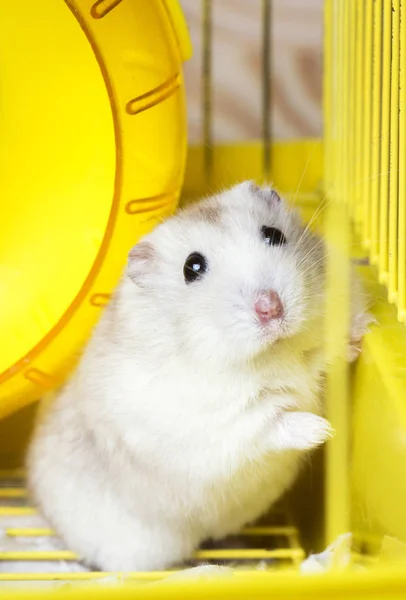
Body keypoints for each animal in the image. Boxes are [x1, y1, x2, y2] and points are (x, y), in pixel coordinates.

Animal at [27, 182, 372, 572]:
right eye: (192, 267)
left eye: (274, 235)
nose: (271, 308)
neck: (273, 351)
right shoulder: (220, 425)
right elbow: (273, 422)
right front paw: (322, 430)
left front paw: (357, 339)